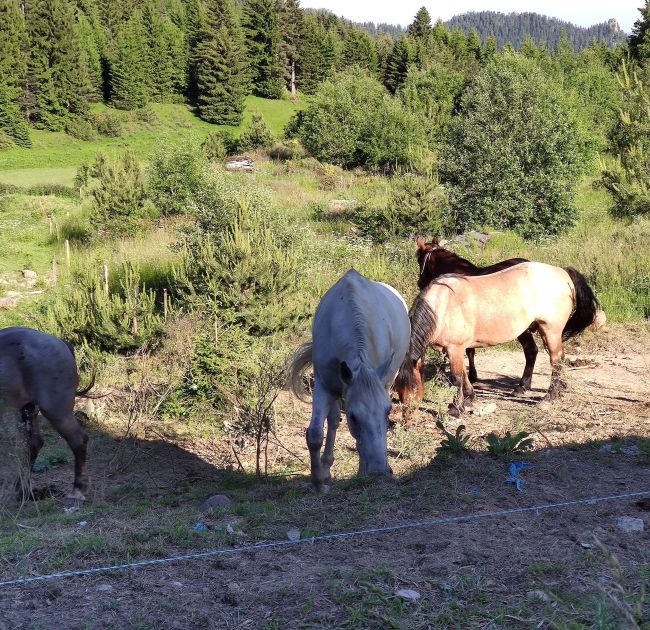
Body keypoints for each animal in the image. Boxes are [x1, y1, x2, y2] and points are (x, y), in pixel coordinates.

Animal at [0, 328, 94, 502]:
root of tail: (59, 342)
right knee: (33, 444)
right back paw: (22, 491)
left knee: (77, 440)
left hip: (55, 410)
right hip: (27, 409)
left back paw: (78, 489)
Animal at [288, 270, 408, 492]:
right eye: (353, 416)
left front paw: (361, 471)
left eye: (388, 411)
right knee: (334, 420)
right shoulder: (324, 384)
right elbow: (315, 434)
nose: (379, 471)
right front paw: (319, 481)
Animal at [392, 262, 596, 418]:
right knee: (538, 354)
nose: (407, 417)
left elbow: (457, 378)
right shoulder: (457, 349)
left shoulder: (454, 348)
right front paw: (469, 398)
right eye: (396, 388)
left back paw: (551, 397)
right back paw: (528, 388)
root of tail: (562, 272)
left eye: (415, 388)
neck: (442, 306)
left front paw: (456, 409)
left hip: (550, 331)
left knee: (556, 360)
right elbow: (465, 375)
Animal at [416, 239, 532, 392]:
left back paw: (523, 385)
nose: (419, 283)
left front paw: (469, 376)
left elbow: (467, 351)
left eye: (419, 260)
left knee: (531, 351)